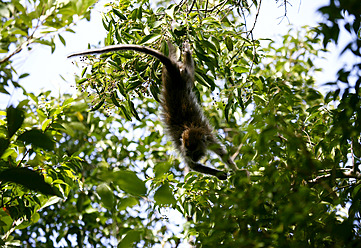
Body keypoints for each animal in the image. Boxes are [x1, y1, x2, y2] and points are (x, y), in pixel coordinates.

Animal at [68, 41, 238, 179]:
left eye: (196, 152)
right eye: (190, 153)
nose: (194, 157)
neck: (192, 129)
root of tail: (172, 71)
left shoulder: (209, 138)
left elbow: (223, 154)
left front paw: (239, 172)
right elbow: (193, 166)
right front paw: (220, 174)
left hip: (183, 75)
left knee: (189, 69)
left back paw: (185, 52)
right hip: (179, 75)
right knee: (185, 66)